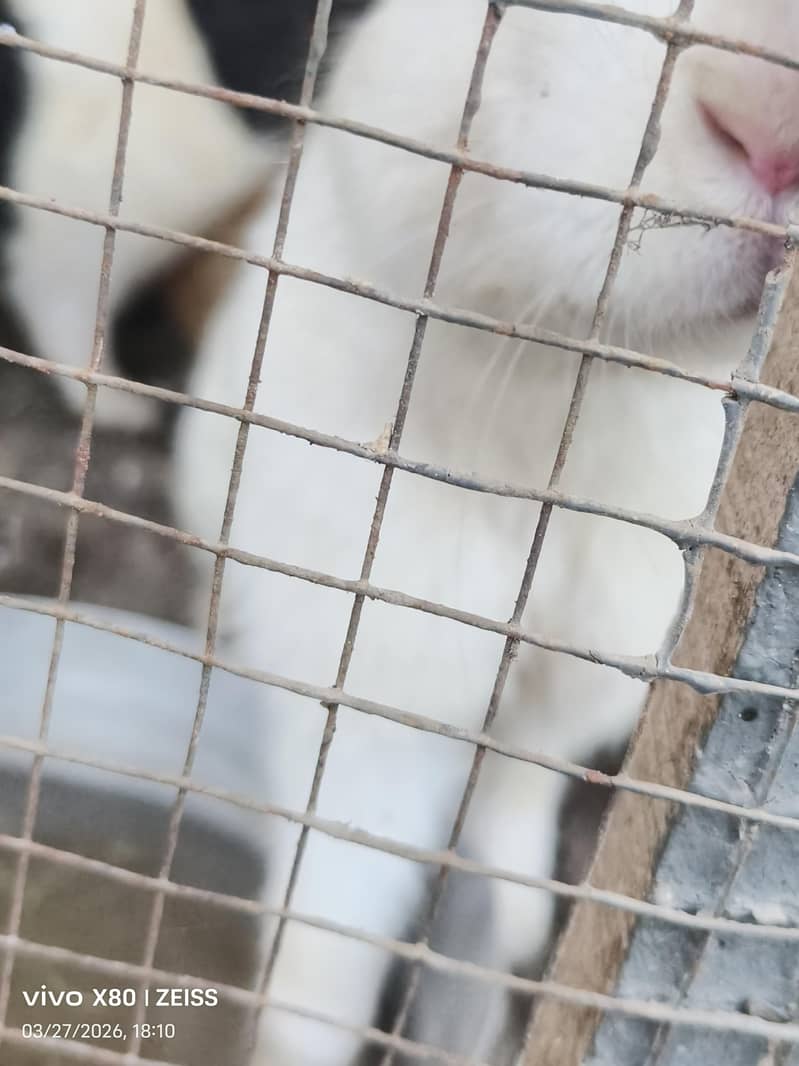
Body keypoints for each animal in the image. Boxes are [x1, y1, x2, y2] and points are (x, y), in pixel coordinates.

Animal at [174, 0, 799, 1062]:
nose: (774, 124)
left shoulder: (580, 682)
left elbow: (511, 800)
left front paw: (503, 934)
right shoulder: (365, 695)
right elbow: (328, 934)